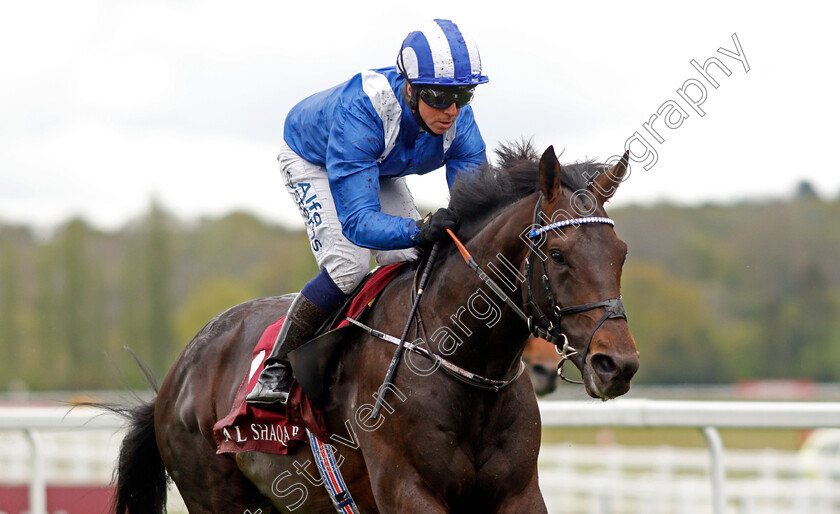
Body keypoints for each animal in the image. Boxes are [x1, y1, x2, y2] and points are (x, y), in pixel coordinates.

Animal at [111, 144, 636, 512]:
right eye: (558, 255)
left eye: (621, 253)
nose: (618, 364)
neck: (464, 369)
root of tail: (177, 376)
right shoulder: (407, 491)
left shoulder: (519, 493)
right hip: (215, 494)